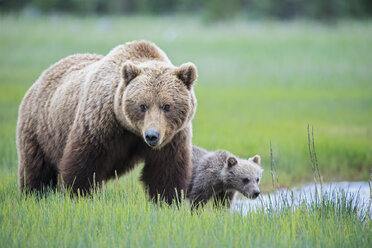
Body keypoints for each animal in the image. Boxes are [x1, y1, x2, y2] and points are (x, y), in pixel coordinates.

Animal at [16, 40, 198, 203]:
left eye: (167, 106)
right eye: (142, 105)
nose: (152, 136)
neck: (130, 129)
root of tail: (42, 75)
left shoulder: (172, 137)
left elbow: (166, 170)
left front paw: (167, 200)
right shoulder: (101, 124)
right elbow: (84, 163)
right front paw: (79, 195)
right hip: (40, 130)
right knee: (37, 170)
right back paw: (34, 195)